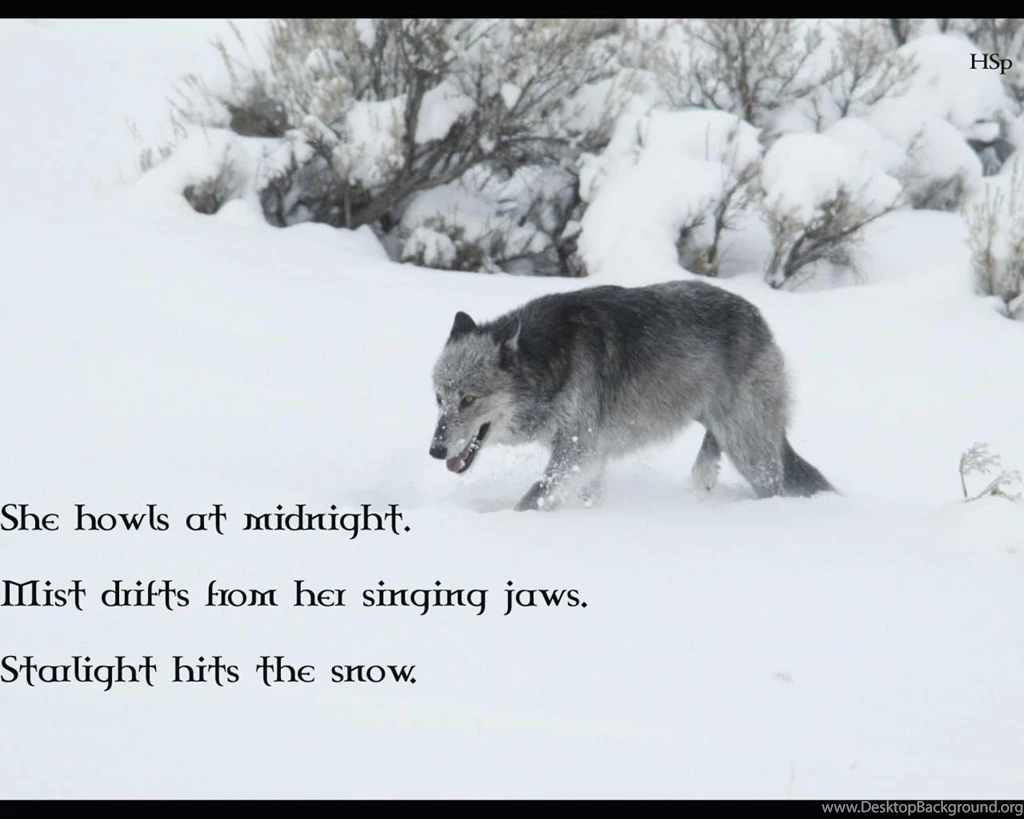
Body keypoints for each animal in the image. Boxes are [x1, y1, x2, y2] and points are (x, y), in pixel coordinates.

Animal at [429, 280, 835, 511]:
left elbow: (531, 499)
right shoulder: (586, 458)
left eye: (469, 399)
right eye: (439, 398)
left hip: (748, 446)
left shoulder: (579, 451)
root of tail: (759, 318)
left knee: (772, 484)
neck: (548, 361)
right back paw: (705, 474)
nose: (435, 450)